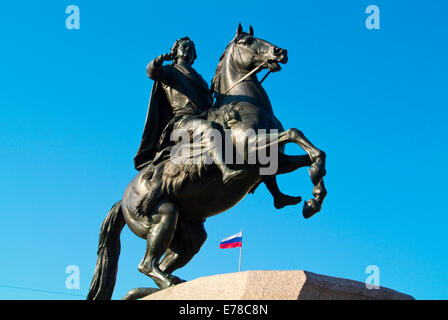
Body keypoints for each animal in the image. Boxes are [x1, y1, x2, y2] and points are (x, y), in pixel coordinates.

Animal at [86, 24, 326, 300]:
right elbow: (296, 133)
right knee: (146, 263)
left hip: (189, 236)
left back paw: (166, 285)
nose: (281, 51)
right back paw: (165, 283)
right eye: (248, 41)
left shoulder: (277, 159)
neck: (244, 105)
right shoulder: (252, 147)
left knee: (165, 262)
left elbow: (313, 154)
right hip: (162, 215)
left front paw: (313, 200)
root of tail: (122, 200)